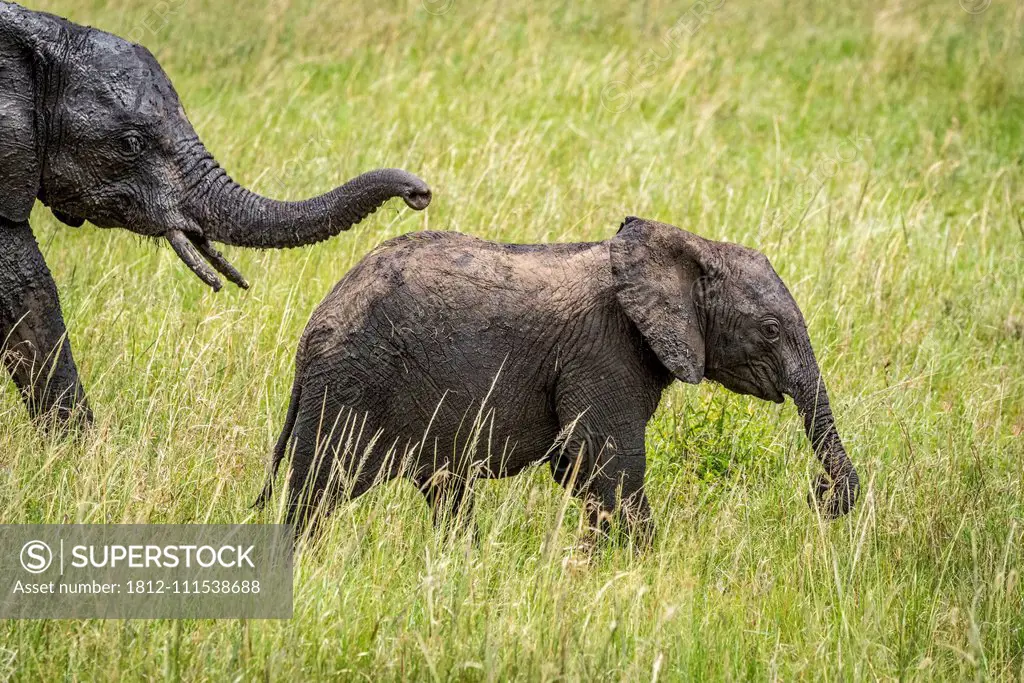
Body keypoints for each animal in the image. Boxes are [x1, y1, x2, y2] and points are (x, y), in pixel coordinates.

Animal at [253, 219, 856, 540]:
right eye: (771, 330)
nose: (820, 495)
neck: (686, 245)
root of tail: (312, 330)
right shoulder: (603, 351)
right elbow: (611, 467)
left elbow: (580, 470)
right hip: (350, 385)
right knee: (315, 495)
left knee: (444, 491)